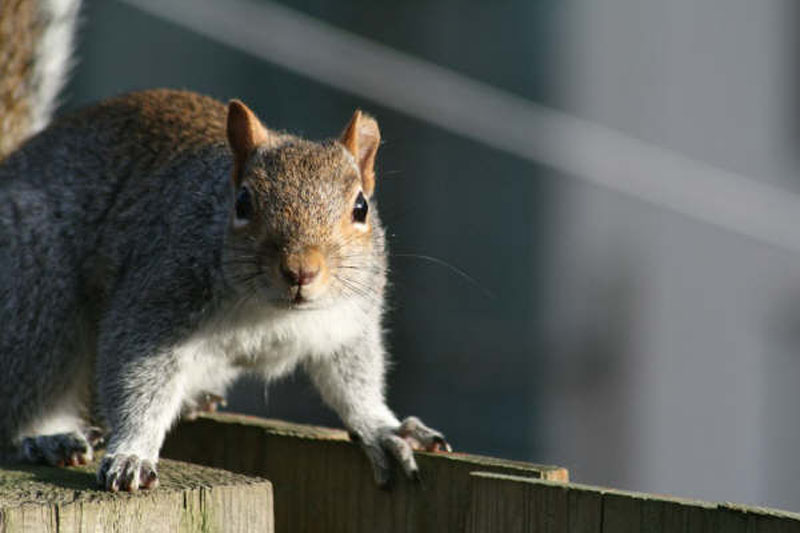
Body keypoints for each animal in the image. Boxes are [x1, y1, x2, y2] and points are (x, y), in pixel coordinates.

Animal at [0, 0, 450, 490]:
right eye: (243, 202)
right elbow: (136, 378)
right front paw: (132, 452)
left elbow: (354, 380)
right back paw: (48, 435)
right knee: (27, 383)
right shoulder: (158, 297)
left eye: (361, 207)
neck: (270, 313)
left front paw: (384, 428)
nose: (301, 270)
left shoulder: (347, 322)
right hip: (37, 285)